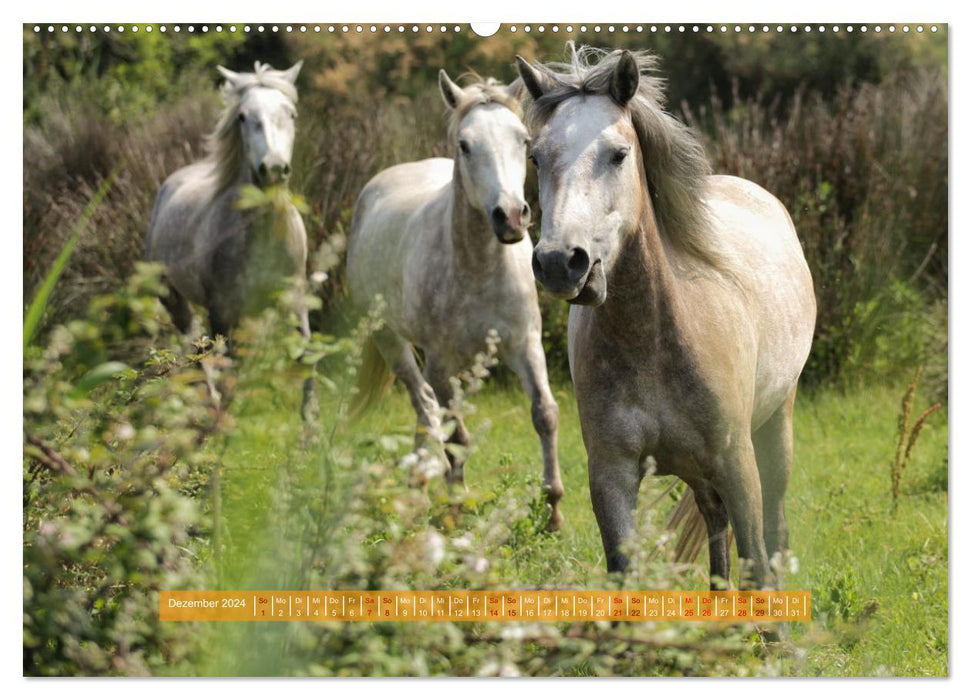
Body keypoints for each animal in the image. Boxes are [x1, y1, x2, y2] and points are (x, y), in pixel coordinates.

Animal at [348, 74, 564, 528]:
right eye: (465, 144)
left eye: (523, 139)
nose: (511, 216)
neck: (479, 268)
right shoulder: (440, 362)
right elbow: (457, 435)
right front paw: (456, 506)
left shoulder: (525, 345)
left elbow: (545, 414)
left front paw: (553, 509)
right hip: (392, 341)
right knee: (426, 404)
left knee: (427, 410)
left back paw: (418, 484)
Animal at [520, 46, 816, 588]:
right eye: (536, 157)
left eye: (618, 154)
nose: (559, 263)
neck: (655, 339)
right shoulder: (611, 475)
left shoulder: (738, 467)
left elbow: (757, 563)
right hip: (699, 474)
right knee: (716, 533)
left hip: (774, 430)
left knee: (774, 533)